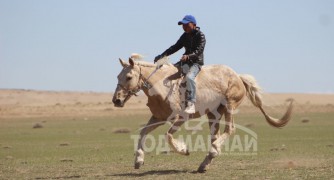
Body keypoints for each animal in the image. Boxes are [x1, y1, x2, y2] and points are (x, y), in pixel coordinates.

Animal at [112, 56, 292, 173]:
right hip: (214, 114)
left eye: (129, 77)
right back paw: (205, 163)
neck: (163, 85)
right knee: (216, 135)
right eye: (118, 76)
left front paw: (184, 150)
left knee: (229, 130)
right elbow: (143, 132)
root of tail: (238, 76)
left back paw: (212, 152)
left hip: (230, 106)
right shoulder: (159, 118)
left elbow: (168, 137)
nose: (116, 100)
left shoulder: (180, 118)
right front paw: (138, 161)